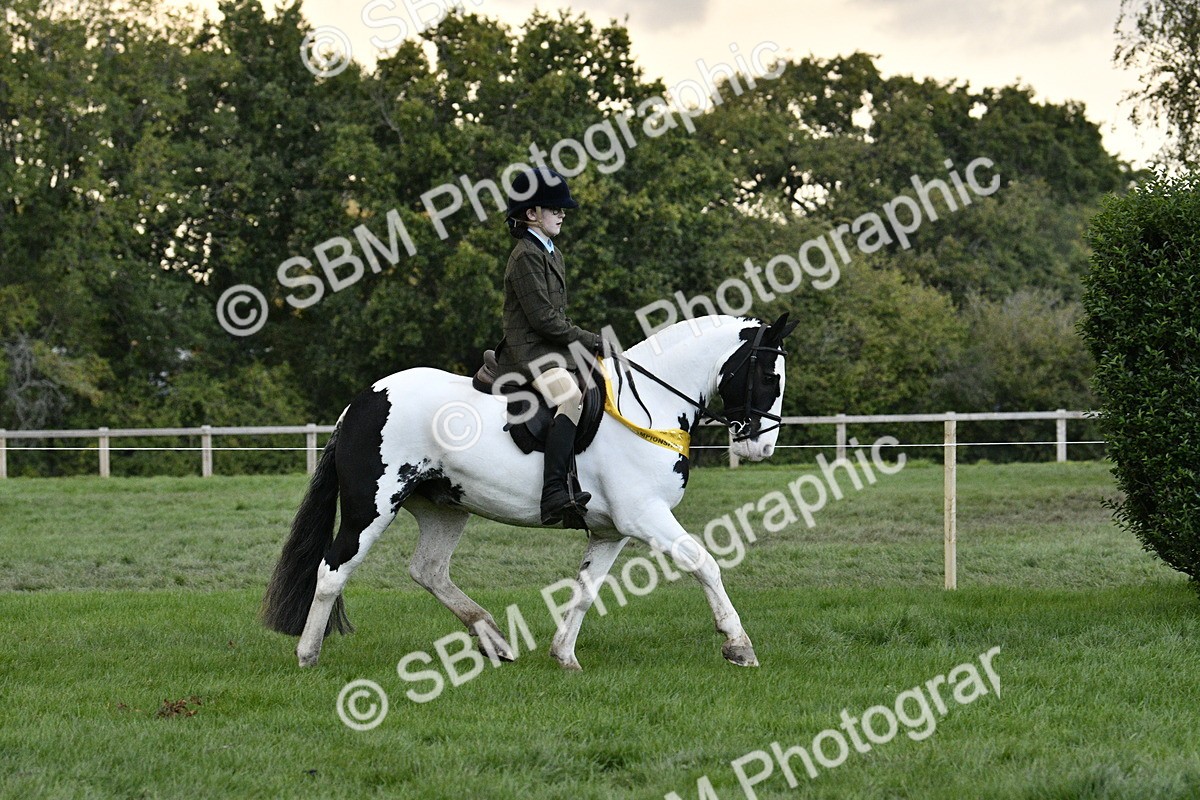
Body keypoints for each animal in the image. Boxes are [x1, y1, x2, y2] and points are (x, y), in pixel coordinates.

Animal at [261, 313, 798, 670]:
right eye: (768, 375)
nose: (761, 445)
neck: (650, 405)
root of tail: (363, 401)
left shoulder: (612, 531)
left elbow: (585, 589)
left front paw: (564, 656)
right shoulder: (645, 516)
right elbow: (705, 563)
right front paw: (738, 645)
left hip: (444, 508)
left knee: (428, 571)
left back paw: (494, 640)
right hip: (369, 508)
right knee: (332, 571)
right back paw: (307, 654)